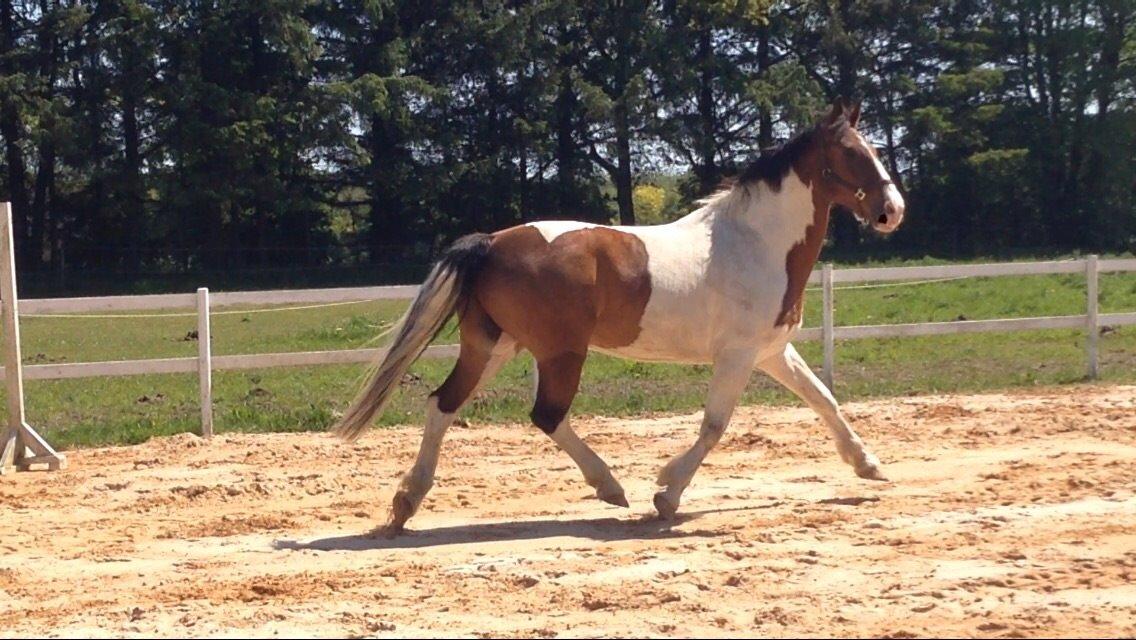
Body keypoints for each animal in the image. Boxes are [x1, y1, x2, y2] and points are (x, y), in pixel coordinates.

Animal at [333, 98, 904, 532]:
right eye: (851, 153)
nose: (892, 211)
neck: (754, 243)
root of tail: (492, 242)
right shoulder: (738, 355)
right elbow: (715, 425)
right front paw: (667, 494)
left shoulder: (771, 352)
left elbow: (824, 399)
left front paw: (869, 465)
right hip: (560, 352)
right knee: (545, 415)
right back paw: (611, 487)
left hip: (494, 345)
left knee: (444, 405)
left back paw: (406, 504)